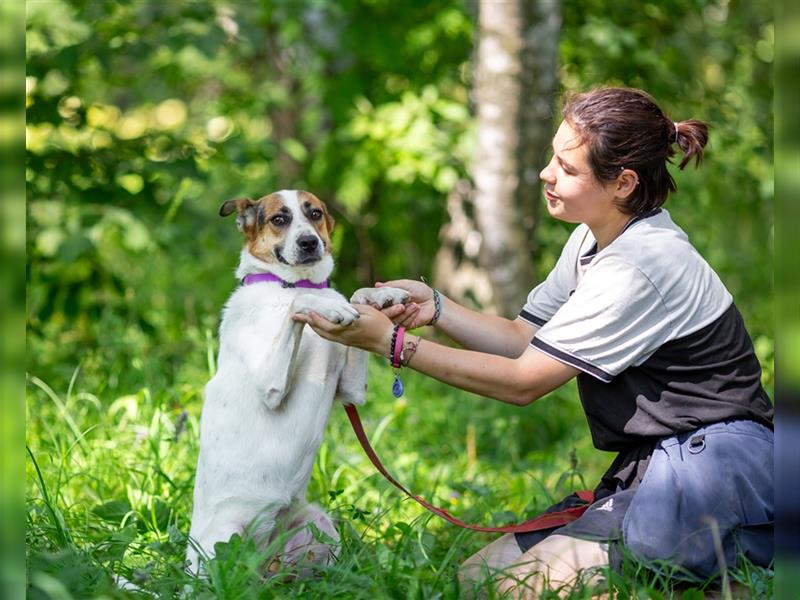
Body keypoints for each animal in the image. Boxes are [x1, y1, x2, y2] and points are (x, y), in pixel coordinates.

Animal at [187, 190, 406, 576]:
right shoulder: (270, 389)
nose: (309, 242)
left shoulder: (352, 390)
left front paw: (378, 295)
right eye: (279, 219)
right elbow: (302, 305)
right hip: (224, 540)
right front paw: (327, 307)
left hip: (318, 524)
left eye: (314, 214)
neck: (290, 284)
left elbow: (354, 297)